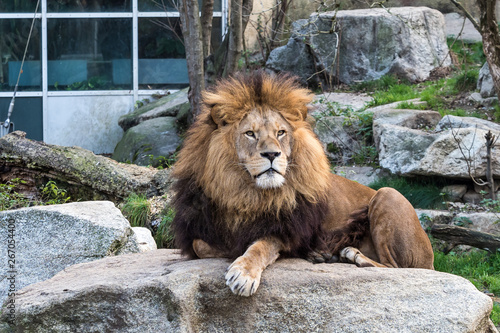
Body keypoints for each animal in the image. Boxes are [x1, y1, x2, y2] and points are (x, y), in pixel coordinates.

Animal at [169, 70, 434, 296]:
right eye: (250, 134)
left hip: (388, 194)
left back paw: (353, 256)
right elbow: (201, 245)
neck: (244, 192)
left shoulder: (285, 230)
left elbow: (259, 247)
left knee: (397, 268)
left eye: (281, 132)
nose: (272, 154)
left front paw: (243, 272)